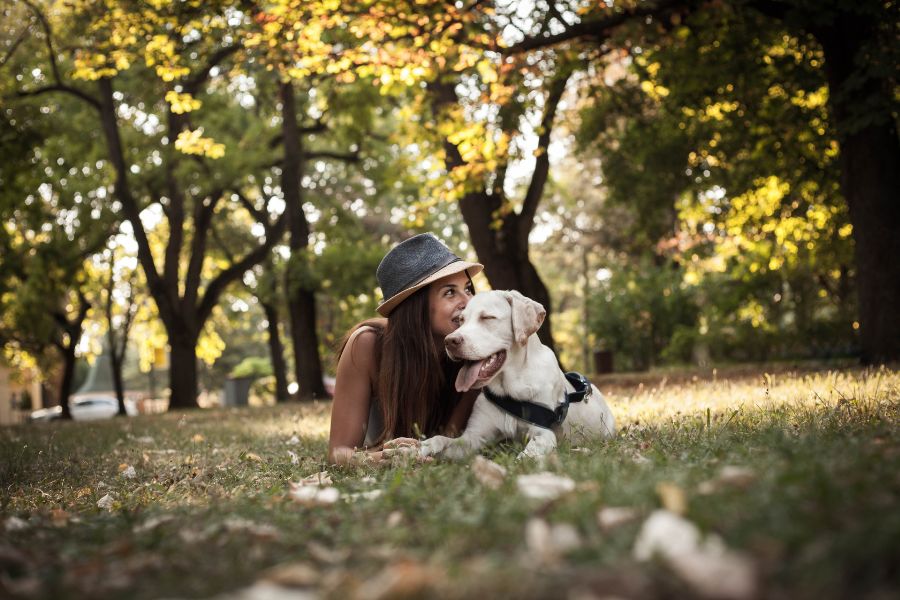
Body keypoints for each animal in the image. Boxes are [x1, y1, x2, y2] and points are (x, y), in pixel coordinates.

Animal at [418, 290, 616, 460]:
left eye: (487, 317)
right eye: (460, 320)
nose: (450, 341)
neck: (510, 388)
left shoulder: (544, 432)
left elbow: (532, 449)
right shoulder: (473, 438)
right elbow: (443, 439)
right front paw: (423, 446)